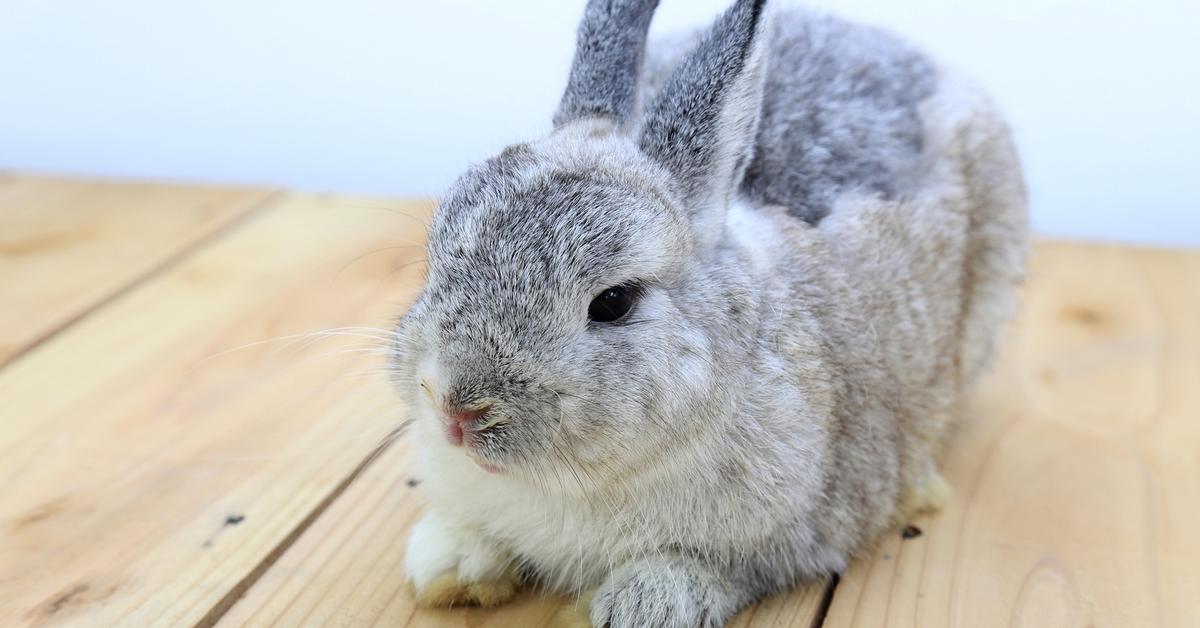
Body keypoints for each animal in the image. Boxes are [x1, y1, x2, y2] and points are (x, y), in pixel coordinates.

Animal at [388, 1, 1027, 628]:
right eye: (437, 254)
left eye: (613, 302)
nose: (457, 412)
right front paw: (449, 562)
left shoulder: (792, 532)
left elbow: (723, 570)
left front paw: (644, 602)